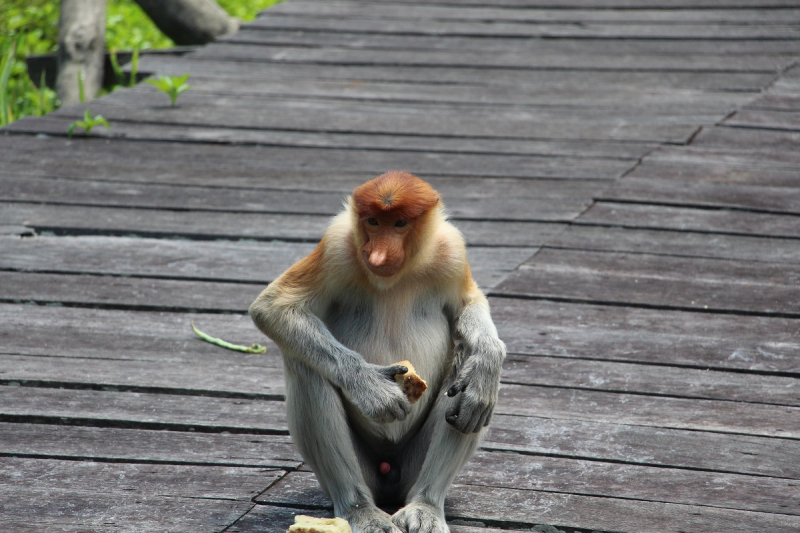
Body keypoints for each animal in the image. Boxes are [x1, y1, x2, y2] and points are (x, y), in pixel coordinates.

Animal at [248, 170, 506, 532]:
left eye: (399, 223)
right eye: (372, 221)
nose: (377, 256)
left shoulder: (451, 251)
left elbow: (470, 303)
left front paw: (485, 365)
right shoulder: (337, 246)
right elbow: (274, 307)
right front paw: (373, 389)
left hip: (410, 468)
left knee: (462, 362)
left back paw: (425, 505)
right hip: (366, 469)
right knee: (305, 365)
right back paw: (360, 510)